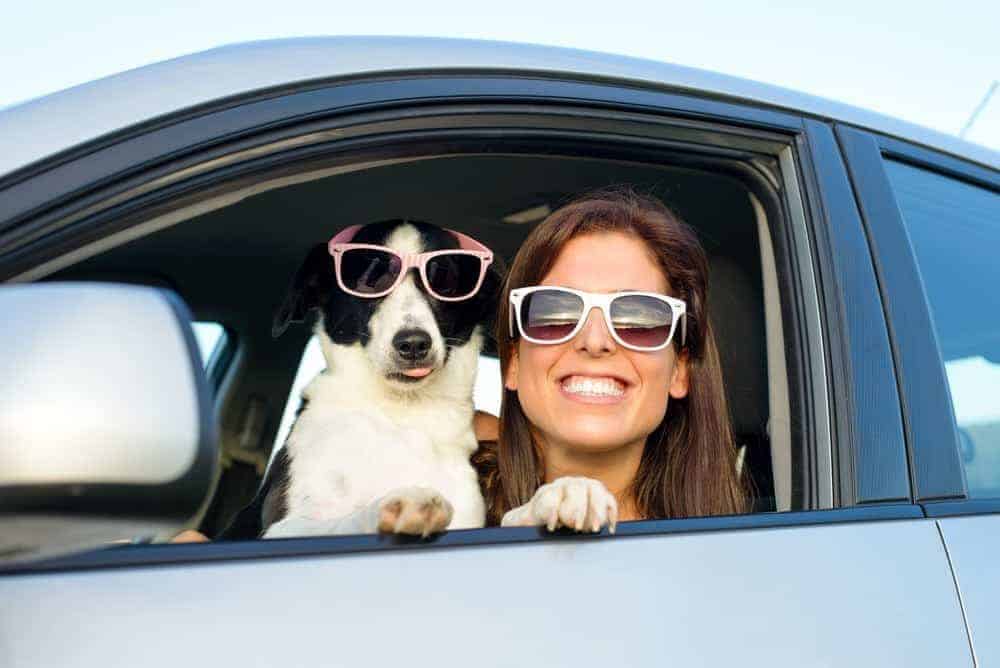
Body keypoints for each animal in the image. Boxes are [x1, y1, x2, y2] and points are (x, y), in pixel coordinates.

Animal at [221, 222, 498, 540]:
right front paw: (395, 508)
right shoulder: (281, 526)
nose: (414, 344)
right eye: (370, 279)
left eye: (445, 278)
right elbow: (340, 522)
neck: (402, 413)